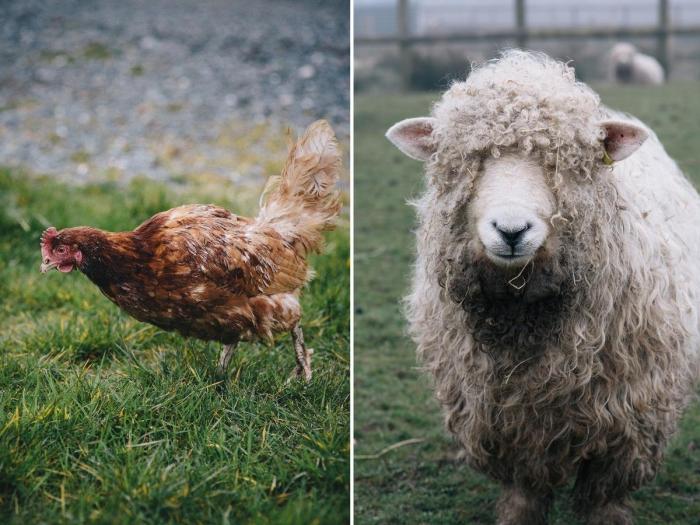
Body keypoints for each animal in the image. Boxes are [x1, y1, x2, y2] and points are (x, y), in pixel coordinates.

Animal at [386, 50, 700, 524]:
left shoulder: (629, 423)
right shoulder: (506, 424)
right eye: (465, 162)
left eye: (565, 163)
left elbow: (603, 497)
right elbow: (524, 493)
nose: (511, 230)